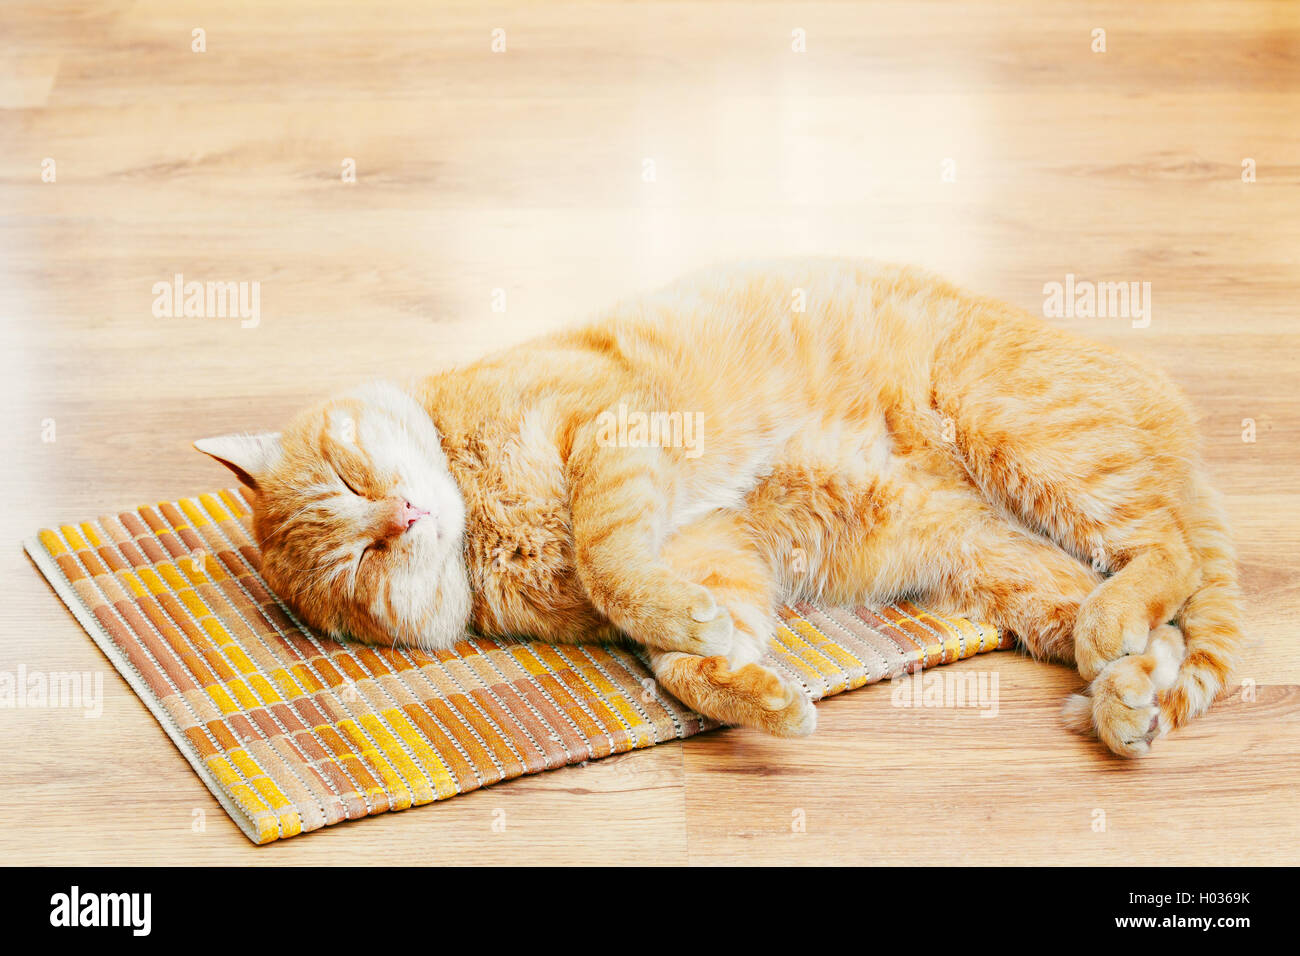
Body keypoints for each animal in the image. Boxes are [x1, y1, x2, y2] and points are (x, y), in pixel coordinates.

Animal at [195, 261, 1248, 754]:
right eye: (359, 567)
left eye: (350, 477)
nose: (403, 519)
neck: (485, 516)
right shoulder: (716, 553)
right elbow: (683, 662)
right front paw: (757, 690)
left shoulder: (618, 430)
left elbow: (613, 558)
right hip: (994, 558)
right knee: (1143, 625)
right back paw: (1127, 696)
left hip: (1029, 440)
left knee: (1169, 550)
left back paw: (1123, 640)